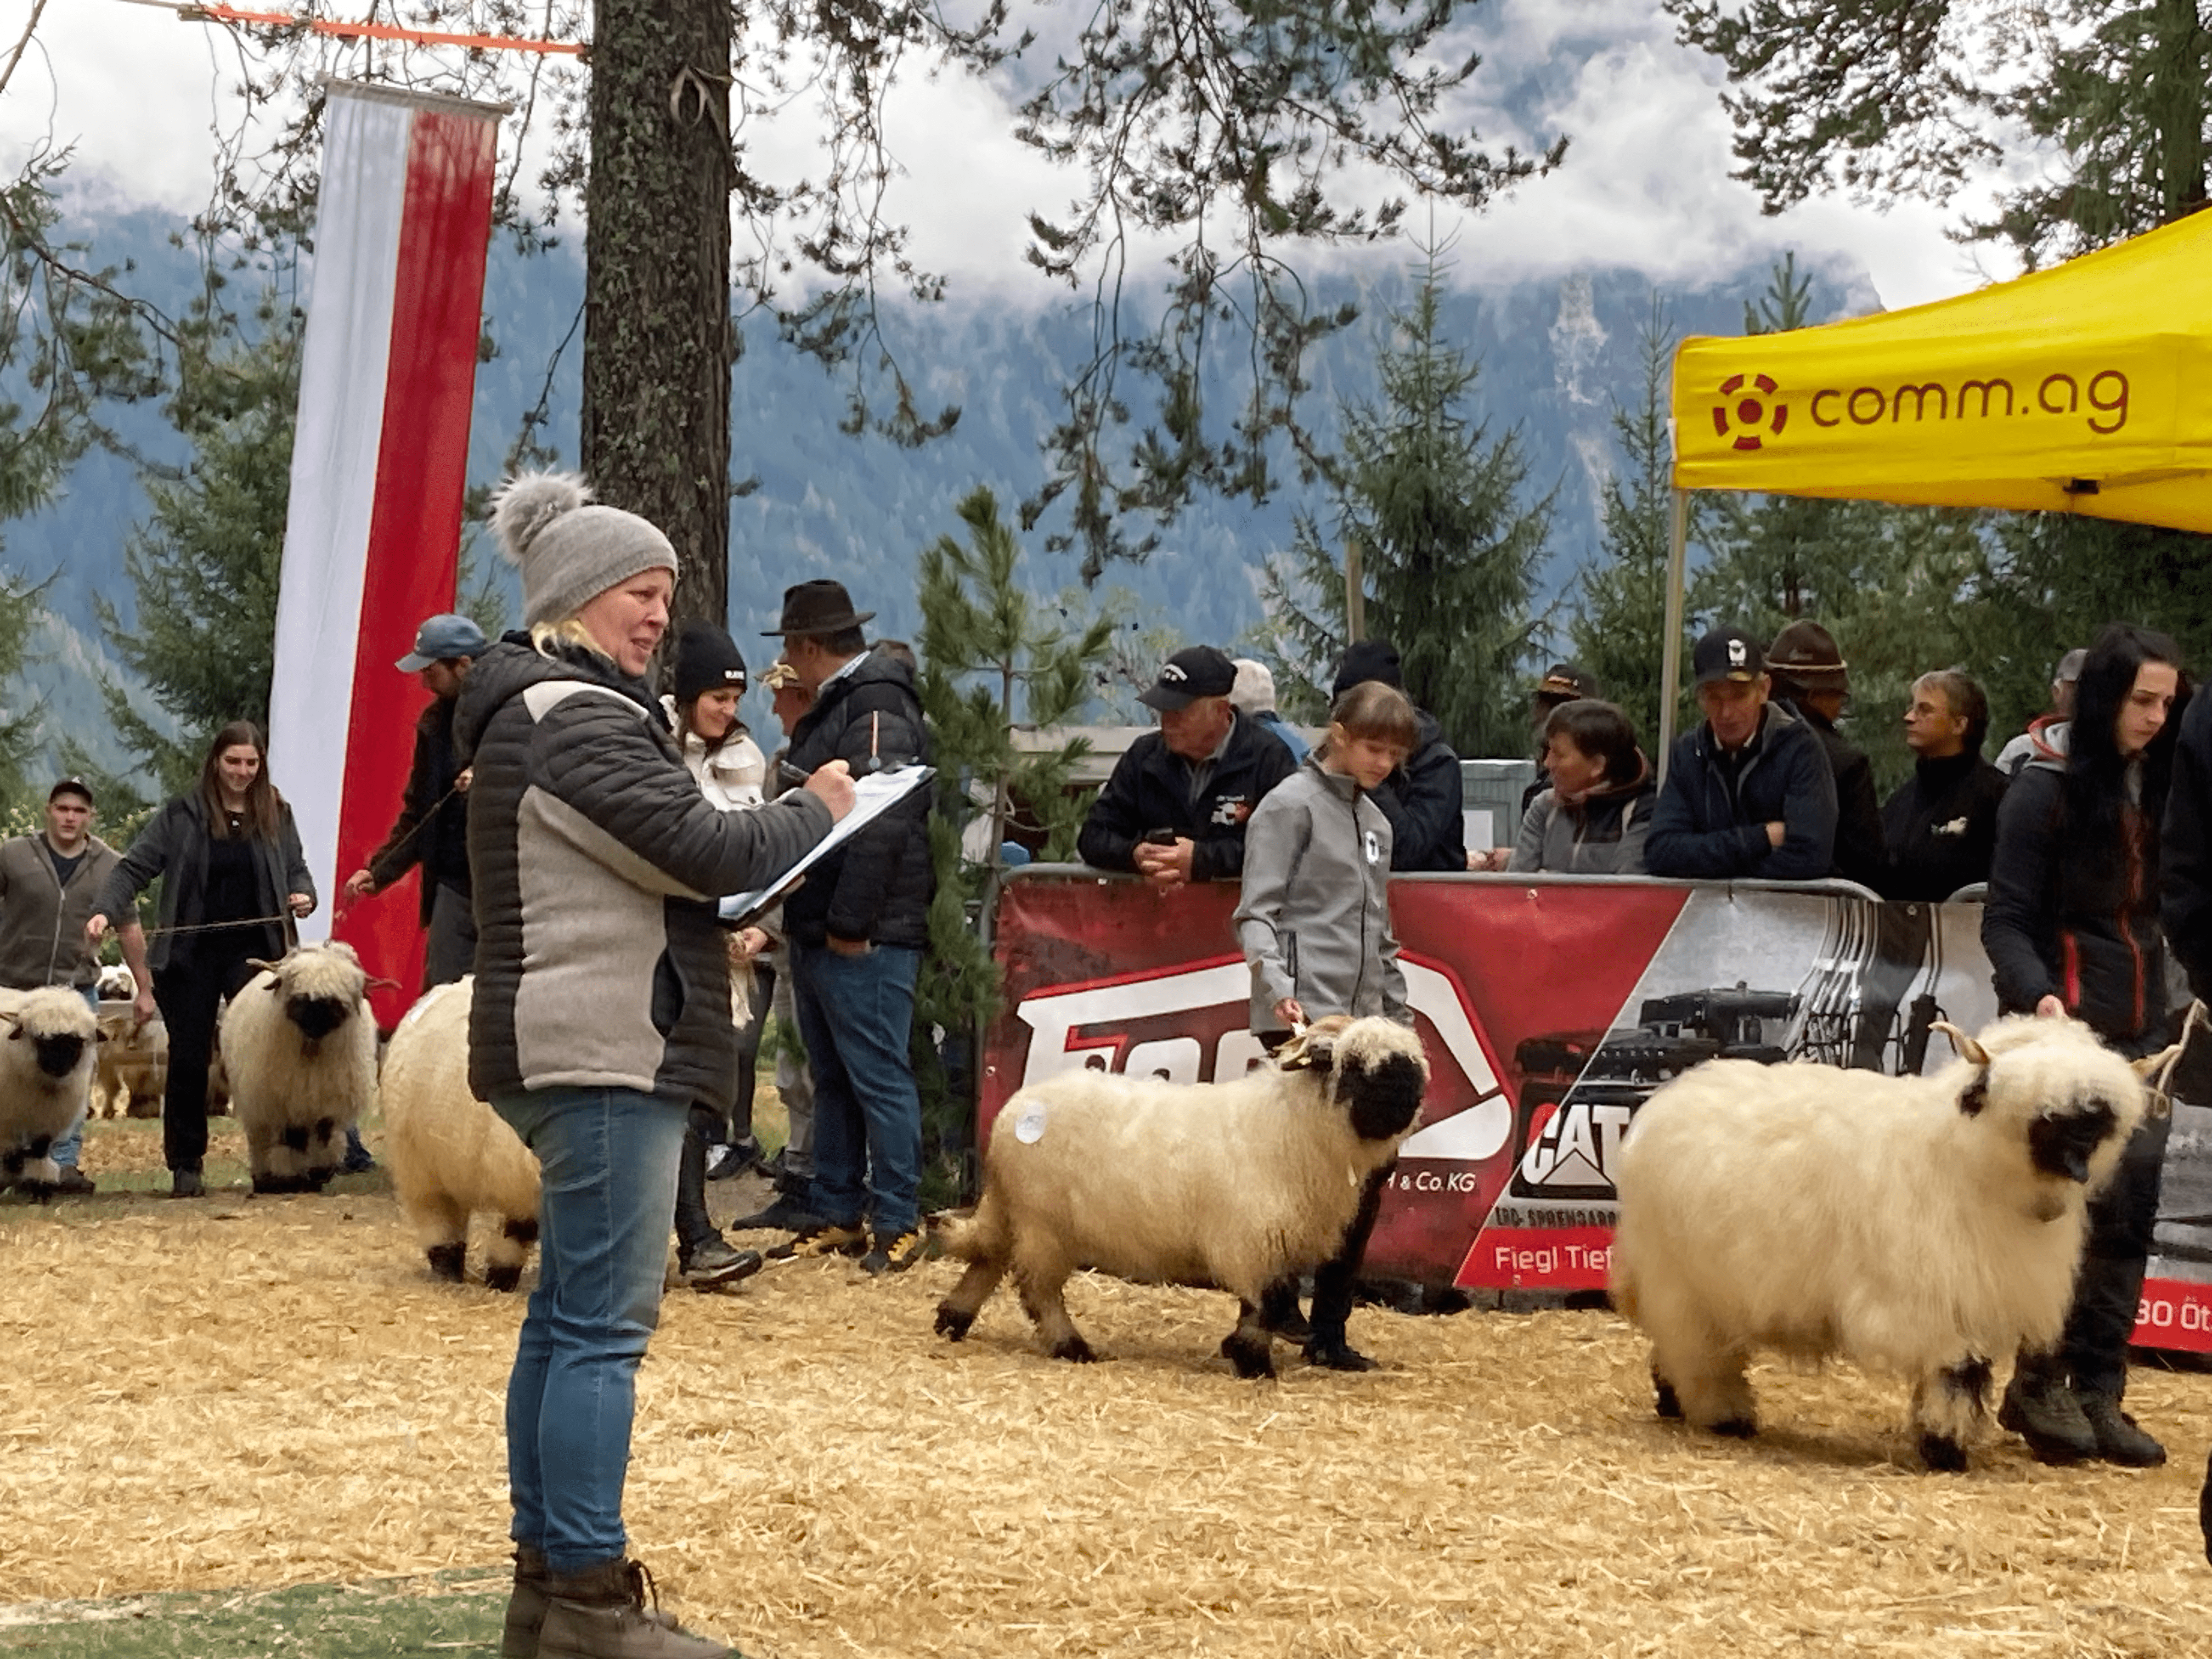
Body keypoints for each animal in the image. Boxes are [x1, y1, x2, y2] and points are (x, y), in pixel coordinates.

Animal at [0, 987, 100, 1198]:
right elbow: (12, 1155)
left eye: (76, 1042)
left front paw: (39, 1185)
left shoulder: (48, 1121)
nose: (59, 1066)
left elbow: (38, 1152)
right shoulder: (6, 1121)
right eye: (41, 1040)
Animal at [218, 942, 382, 1194]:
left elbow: (323, 1133)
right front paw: (292, 1178)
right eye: (300, 997)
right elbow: (293, 1138)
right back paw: (266, 1179)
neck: (312, 1051)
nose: (315, 1026)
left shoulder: (327, 1101)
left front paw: (319, 1173)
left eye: (334, 1002)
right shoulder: (284, 1101)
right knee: (262, 1140)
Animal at [933, 1014, 1429, 1378]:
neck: (1295, 1126)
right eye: (1358, 1065)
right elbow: (1269, 1304)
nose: (1409, 1106)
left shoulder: (1274, 1244)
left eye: (1414, 1066)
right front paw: (1252, 1360)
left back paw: (952, 1319)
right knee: (1038, 1290)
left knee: (988, 1259)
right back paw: (1070, 1346)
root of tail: (1011, 1113)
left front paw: (1244, 1352)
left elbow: (1264, 1305)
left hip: (1020, 1214)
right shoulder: (1249, 1243)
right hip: (1044, 1224)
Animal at [1609, 1014, 2169, 1472]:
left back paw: (1674, 1401)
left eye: (2097, 1125)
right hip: (1680, 1278)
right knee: (1696, 1351)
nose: (2079, 1166)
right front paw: (1946, 1451)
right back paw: (1723, 1415)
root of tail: (1663, 1103)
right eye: (2052, 1119)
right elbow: (1957, 1374)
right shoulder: (1936, 1300)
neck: (1963, 1158)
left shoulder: (1973, 1293)